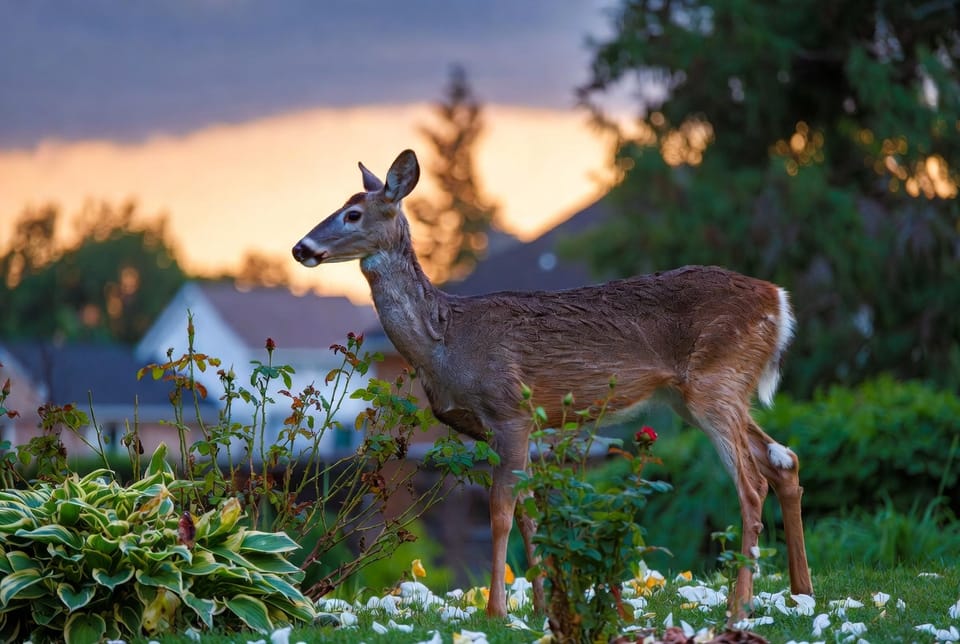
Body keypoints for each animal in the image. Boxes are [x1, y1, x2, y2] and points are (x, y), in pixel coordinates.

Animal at [291, 149, 813, 620]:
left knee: (752, 484)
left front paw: (497, 612)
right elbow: (528, 512)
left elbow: (501, 512)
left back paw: (739, 606)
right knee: (784, 460)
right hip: (698, 394)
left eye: (353, 213)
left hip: (715, 381)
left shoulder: (510, 411)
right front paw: (541, 607)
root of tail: (779, 300)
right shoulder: (497, 429)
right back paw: (799, 593)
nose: (300, 247)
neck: (444, 340)